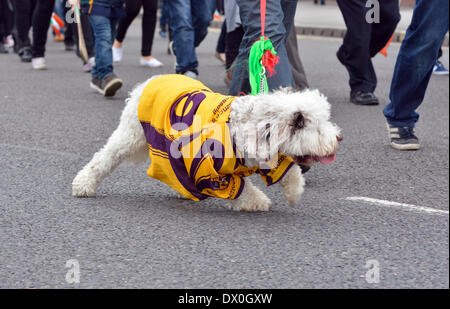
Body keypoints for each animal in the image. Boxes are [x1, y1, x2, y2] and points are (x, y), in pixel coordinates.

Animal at [74, 74, 342, 212]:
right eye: (319, 128)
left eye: (326, 121)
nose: (339, 137)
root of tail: (150, 80)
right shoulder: (208, 171)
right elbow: (242, 190)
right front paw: (258, 202)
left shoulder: (269, 158)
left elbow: (290, 173)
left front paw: (294, 193)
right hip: (131, 134)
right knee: (103, 158)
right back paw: (83, 184)